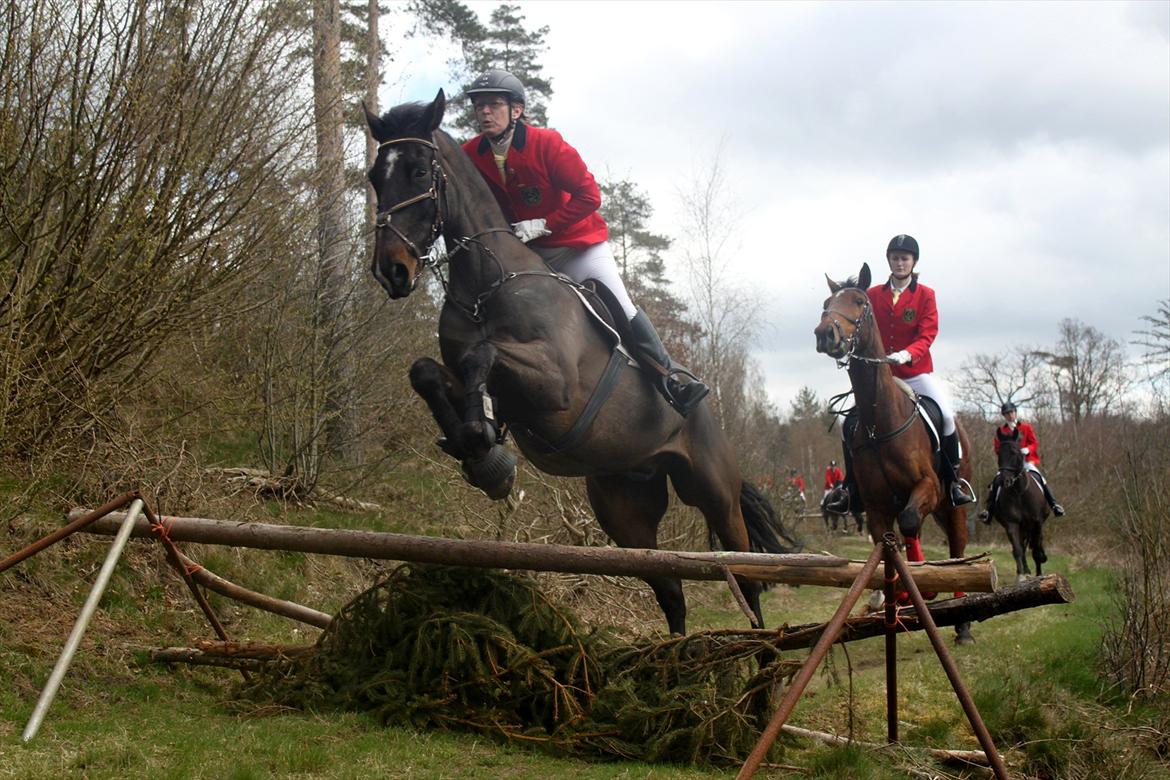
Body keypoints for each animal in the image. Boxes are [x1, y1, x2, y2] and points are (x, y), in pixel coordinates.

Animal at [360, 94, 800, 636]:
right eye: (375, 178)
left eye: (420, 171)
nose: (392, 271)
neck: (487, 281)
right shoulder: (475, 379)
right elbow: (429, 372)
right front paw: (476, 448)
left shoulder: (556, 383)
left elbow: (483, 354)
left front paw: (484, 445)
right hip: (624, 506)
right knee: (671, 590)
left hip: (714, 490)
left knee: (748, 574)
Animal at [809, 265, 973, 645]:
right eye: (826, 304)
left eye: (859, 301)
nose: (825, 334)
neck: (879, 421)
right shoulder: (876, 506)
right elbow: (886, 543)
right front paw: (892, 594)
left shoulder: (928, 488)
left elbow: (910, 523)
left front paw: (923, 589)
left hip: (951, 501)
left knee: (957, 549)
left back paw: (962, 624)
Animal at [987, 432, 1053, 580]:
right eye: (999, 453)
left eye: (1014, 453)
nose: (1004, 480)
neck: (1019, 491)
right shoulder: (1011, 523)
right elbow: (1017, 549)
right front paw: (1021, 576)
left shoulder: (1037, 522)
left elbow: (1036, 548)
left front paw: (1039, 573)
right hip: (1021, 527)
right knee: (1021, 547)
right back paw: (1025, 570)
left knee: (1035, 543)